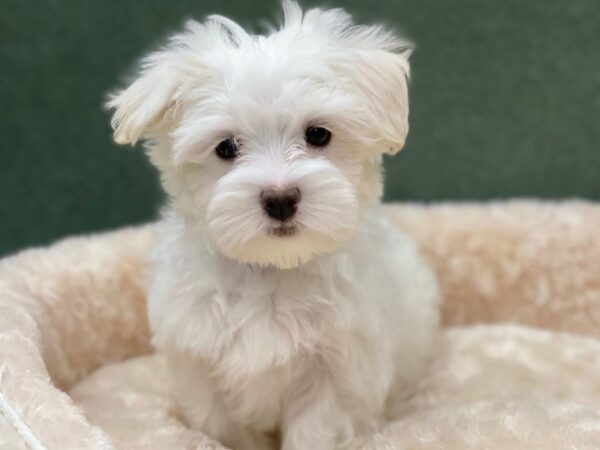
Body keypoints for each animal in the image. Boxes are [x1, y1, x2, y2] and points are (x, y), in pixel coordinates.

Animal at [108, 1, 438, 448]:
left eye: (318, 134)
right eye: (226, 147)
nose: (280, 198)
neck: (272, 268)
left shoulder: (339, 366)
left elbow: (317, 429)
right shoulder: (200, 363)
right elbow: (224, 427)